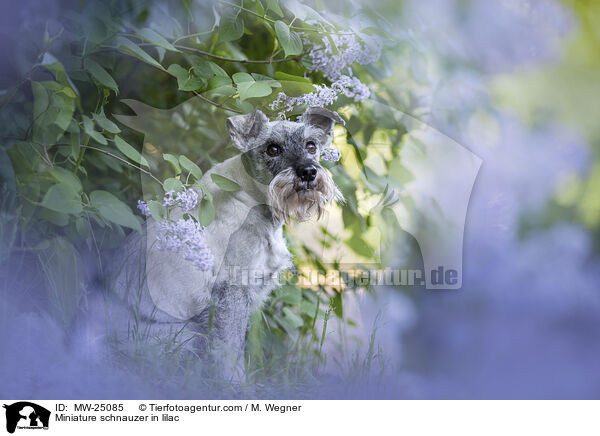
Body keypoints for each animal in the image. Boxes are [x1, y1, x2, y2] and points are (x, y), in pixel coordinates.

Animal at [105, 105, 344, 378]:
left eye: (311, 145)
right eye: (273, 148)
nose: (308, 172)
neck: (252, 198)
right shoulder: (232, 291)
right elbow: (230, 348)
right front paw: (234, 382)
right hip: (185, 336)